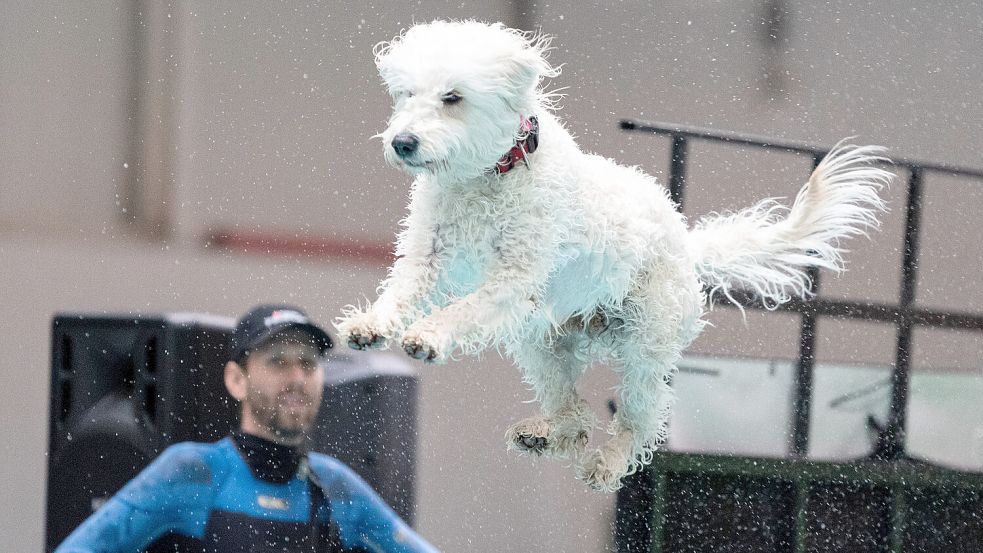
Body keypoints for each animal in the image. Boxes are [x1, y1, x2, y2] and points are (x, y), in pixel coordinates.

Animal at [338, 19, 892, 490]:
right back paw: (545, 434)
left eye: (453, 97)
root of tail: (685, 244)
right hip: (540, 343)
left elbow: (462, 309)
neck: (490, 174)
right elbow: (402, 292)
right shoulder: (429, 258)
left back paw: (607, 463)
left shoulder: (514, 280)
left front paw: (428, 337)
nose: (403, 142)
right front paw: (371, 325)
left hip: (645, 348)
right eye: (406, 94)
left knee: (640, 420)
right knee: (577, 418)